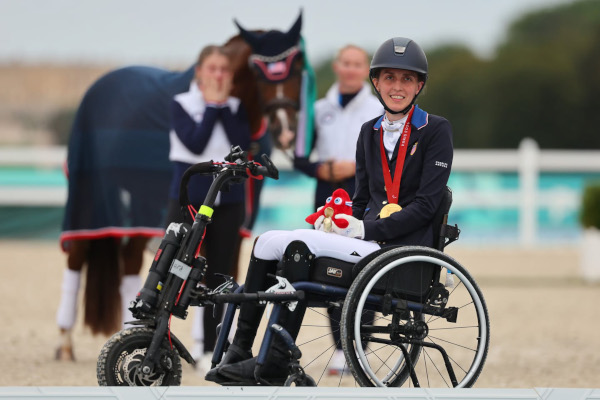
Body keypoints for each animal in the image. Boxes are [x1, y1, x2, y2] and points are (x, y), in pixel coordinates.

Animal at [55, 12, 314, 360]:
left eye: (297, 64)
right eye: (259, 70)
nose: (286, 130)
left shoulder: (236, 222)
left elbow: (223, 269)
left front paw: (207, 348)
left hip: (141, 205)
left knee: (130, 262)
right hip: (91, 197)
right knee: (77, 257)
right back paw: (65, 342)